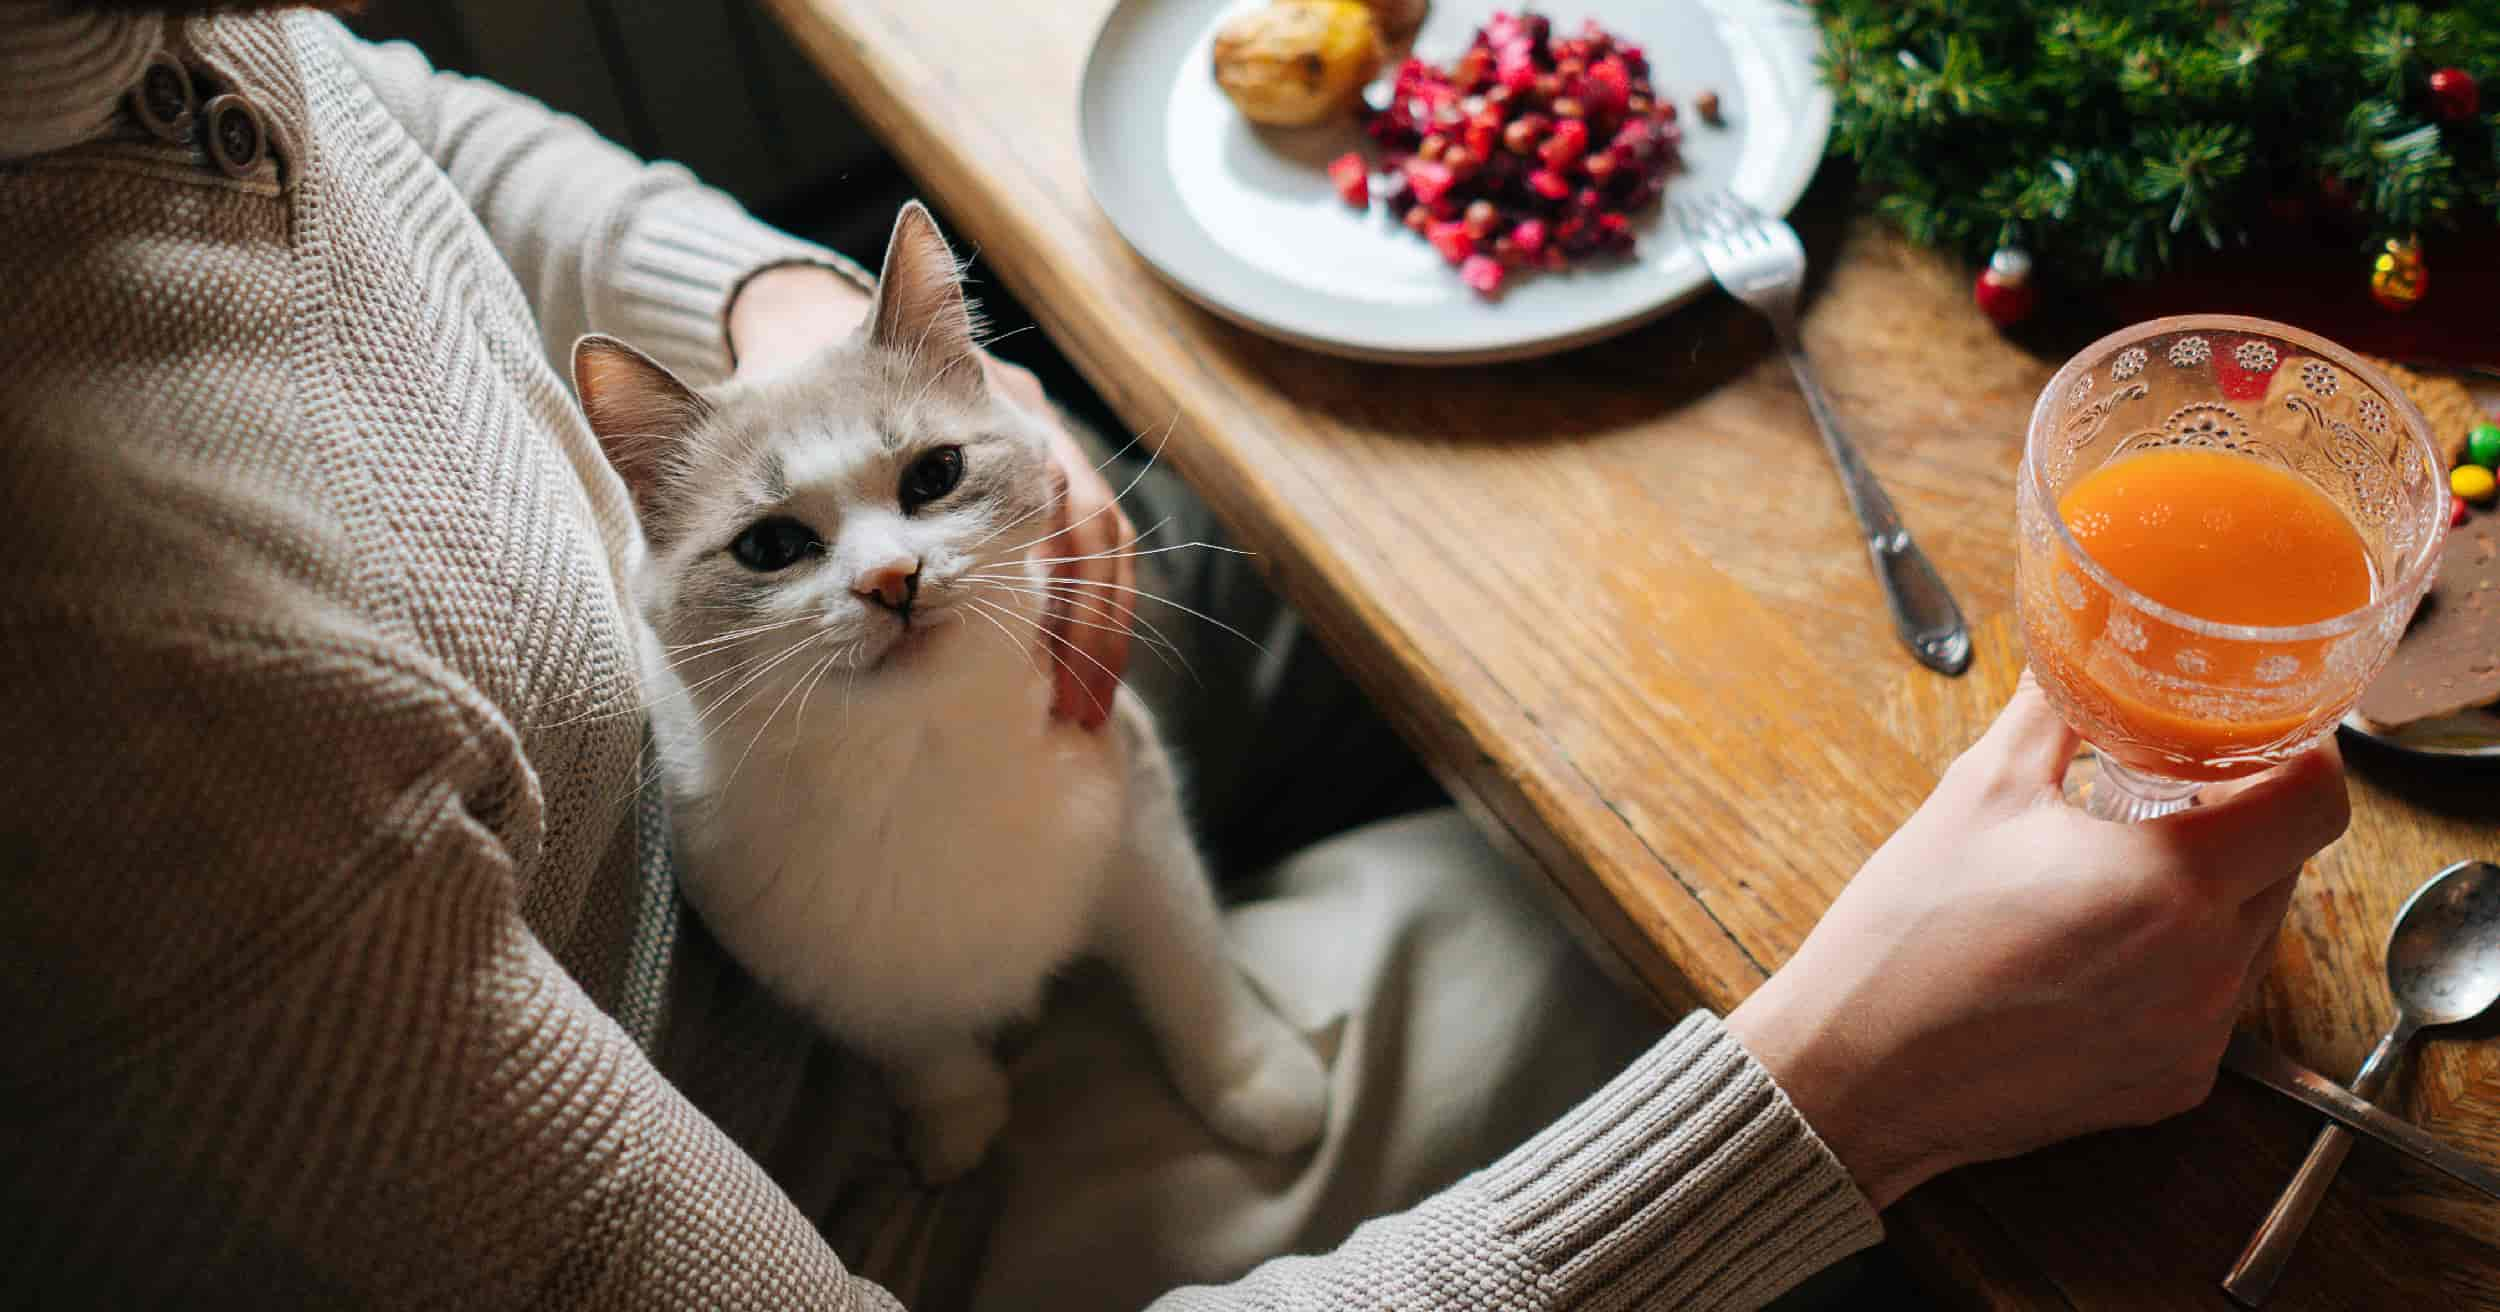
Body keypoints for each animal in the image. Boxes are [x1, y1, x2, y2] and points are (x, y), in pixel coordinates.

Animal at [575, 202, 1340, 1174]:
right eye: (771, 547)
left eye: (934, 475)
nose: (891, 579)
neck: (917, 759)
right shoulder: (808, 957)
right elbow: (911, 1034)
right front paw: (953, 1118)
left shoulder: (1140, 814)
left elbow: (1188, 962)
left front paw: (1252, 1079)